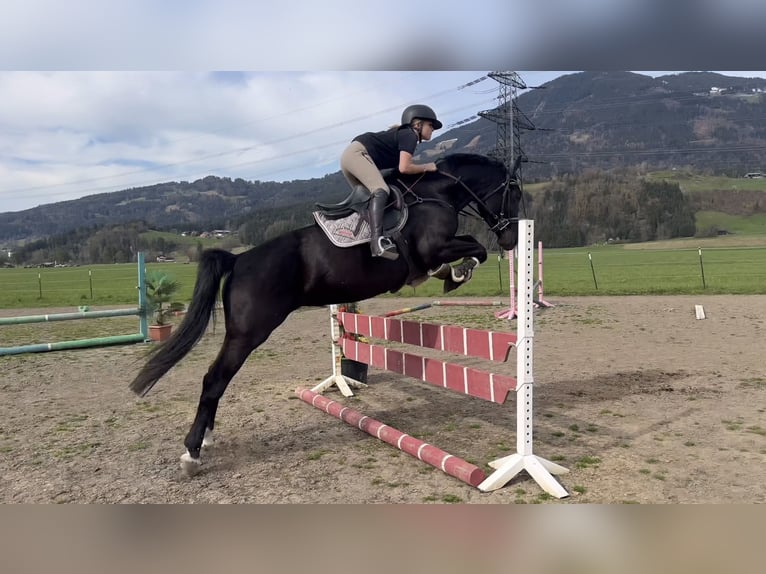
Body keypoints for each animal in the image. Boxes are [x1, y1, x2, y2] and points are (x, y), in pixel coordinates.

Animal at [129, 152, 522, 476]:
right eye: (514, 193)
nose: (511, 240)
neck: (435, 194)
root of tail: (238, 259)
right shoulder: (434, 247)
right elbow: (474, 249)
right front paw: (457, 274)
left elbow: (466, 253)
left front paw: (450, 274)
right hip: (249, 333)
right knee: (214, 378)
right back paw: (192, 452)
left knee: (216, 378)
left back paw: (206, 438)